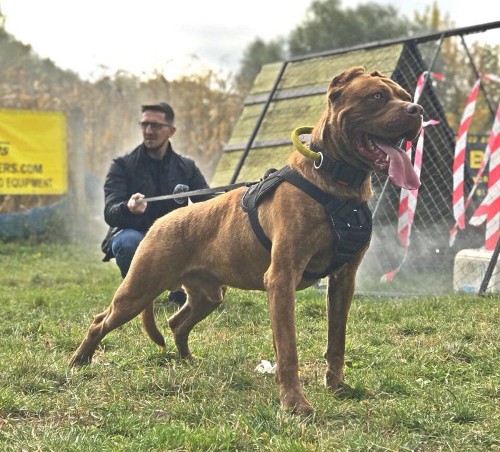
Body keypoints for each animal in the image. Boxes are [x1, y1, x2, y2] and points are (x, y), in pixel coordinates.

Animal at [70, 65, 422, 414]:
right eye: (376, 96)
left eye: (405, 95)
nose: (416, 109)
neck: (337, 183)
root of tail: (162, 219)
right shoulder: (281, 278)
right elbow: (287, 349)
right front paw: (294, 403)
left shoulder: (343, 281)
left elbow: (337, 341)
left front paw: (336, 387)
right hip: (138, 289)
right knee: (100, 321)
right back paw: (79, 362)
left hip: (208, 295)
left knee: (177, 322)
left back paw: (187, 361)